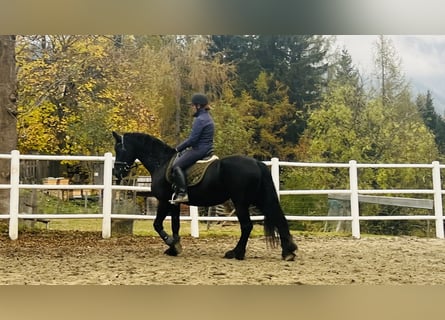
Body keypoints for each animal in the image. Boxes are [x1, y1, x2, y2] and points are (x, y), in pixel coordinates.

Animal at [112, 131, 298, 262]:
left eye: (119, 149)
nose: (116, 172)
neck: (162, 163)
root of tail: (257, 163)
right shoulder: (175, 203)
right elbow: (175, 225)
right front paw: (174, 247)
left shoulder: (165, 201)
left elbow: (157, 225)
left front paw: (172, 244)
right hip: (259, 199)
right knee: (278, 219)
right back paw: (288, 252)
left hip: (240, 202)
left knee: (247, 226)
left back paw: (236, 253)